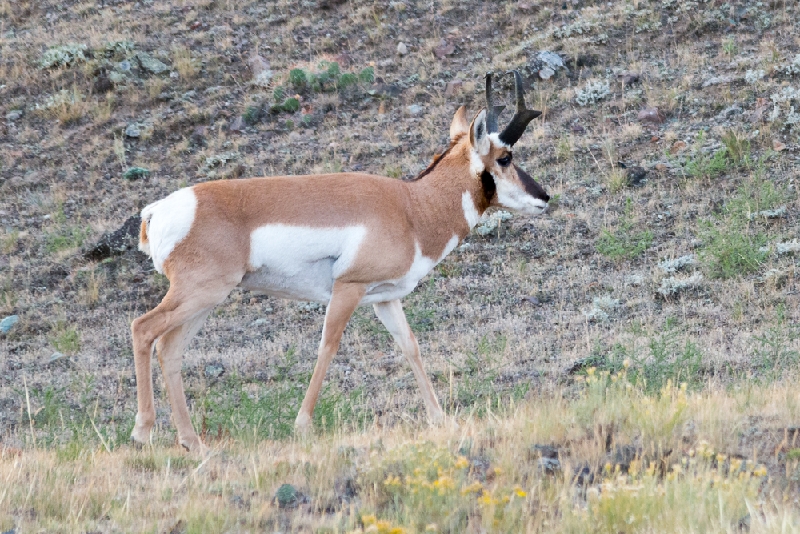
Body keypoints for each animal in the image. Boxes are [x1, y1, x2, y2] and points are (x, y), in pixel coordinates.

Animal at [133, 71, 552, 454]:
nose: (544, 197)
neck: (412, 207)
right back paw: (143, 432)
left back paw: (192, 442)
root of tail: (159, 211)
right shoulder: (348, 288)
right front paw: (302, 424)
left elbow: (410, 346)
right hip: (200, 293)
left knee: (169, 349)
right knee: (143, 328)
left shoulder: (386, 298)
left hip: (206, 301)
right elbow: (328, 345)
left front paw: (441, 418)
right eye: (505, 157)